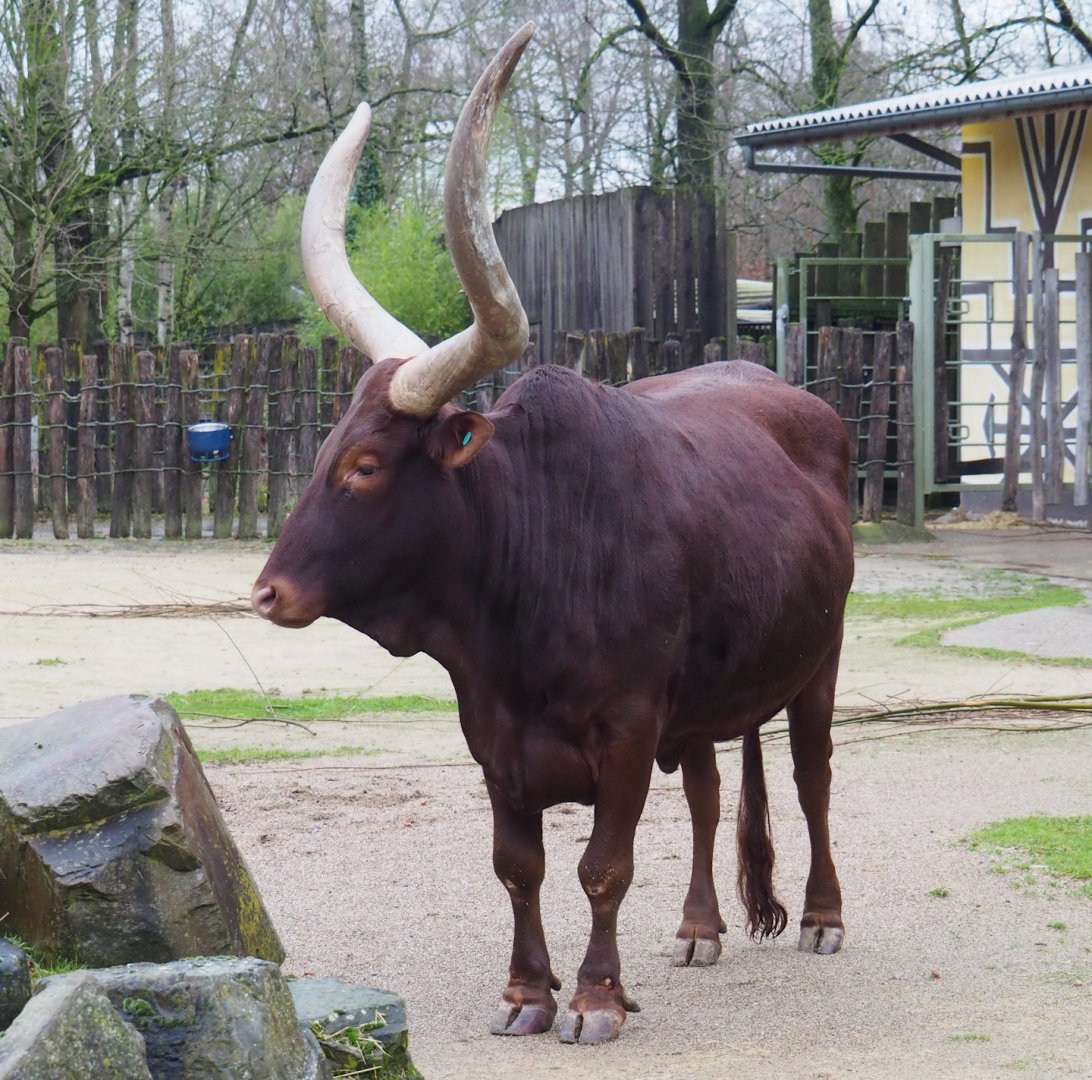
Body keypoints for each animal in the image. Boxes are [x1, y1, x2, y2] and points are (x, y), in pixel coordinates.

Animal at [252, 23, 854, 1046]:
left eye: (366, 466)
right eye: (326, 445)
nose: (268, 592)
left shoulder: (628, 730)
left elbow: (602, 867)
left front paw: (596, 998)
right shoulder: (494, 741)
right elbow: (520, 869)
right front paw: (527, 992)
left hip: (821, 658)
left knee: (811, 777)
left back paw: (821, 915)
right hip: (702, 701)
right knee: (707, 796)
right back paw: (699, 928)